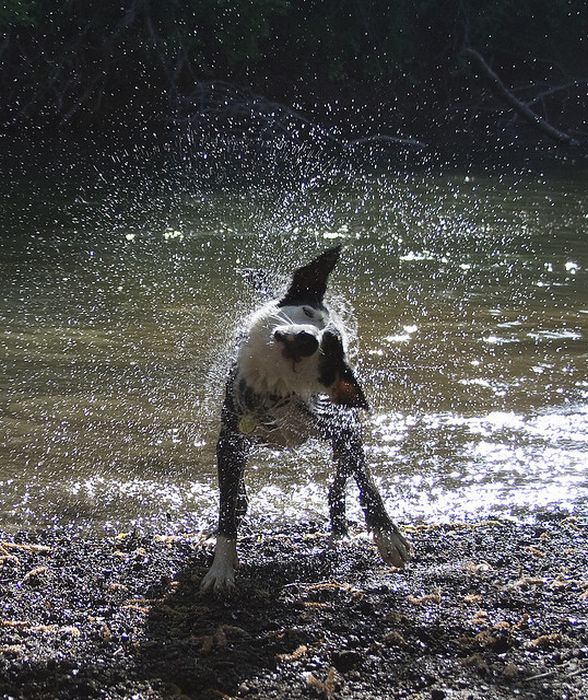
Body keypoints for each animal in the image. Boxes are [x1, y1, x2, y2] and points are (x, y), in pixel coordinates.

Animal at [201, 243, 408, 592]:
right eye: (308, 314)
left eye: (331, 348)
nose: (309, 339)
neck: (277, 392)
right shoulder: (231, 438)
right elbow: (227, 508)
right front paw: (222, 566)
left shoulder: (344, 428)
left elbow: (366, 483)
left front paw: (387, 535)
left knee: (339, 483)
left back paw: (340, 528)